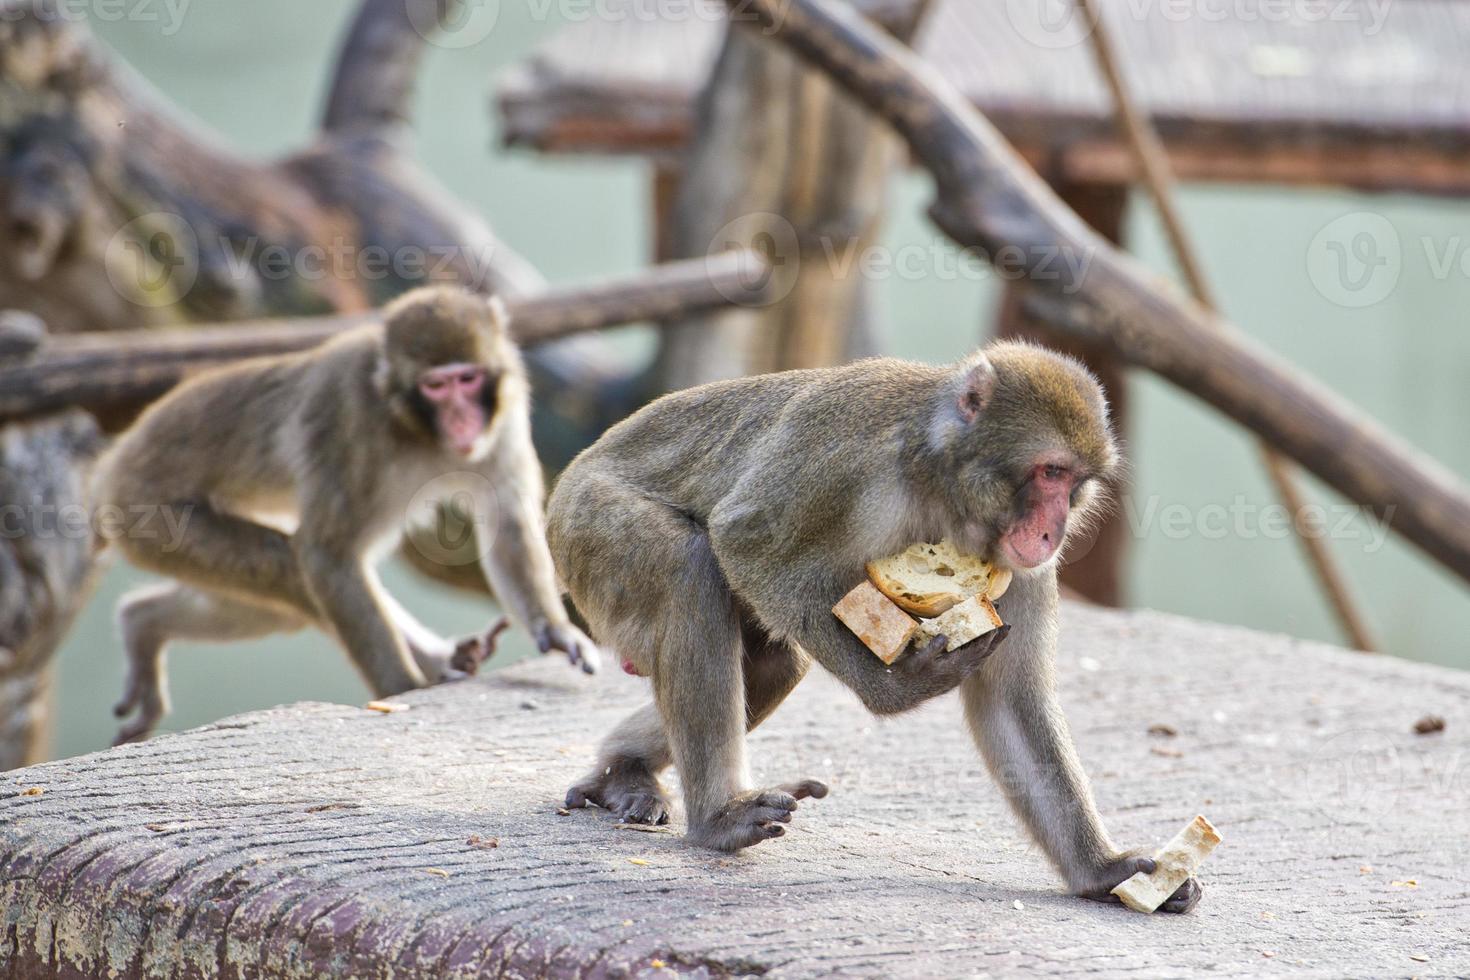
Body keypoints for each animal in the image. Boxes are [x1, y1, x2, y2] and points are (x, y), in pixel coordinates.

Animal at [96, 283, 596, 743]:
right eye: (436, 386)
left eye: (468, 379)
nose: (461, 419)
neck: (418, 429)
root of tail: (116, 463)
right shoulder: (349, 420)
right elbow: (327, 555)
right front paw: (401, 689)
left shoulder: (505, 416)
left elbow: (508, 522)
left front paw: (555, 630)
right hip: (151, 517)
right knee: (290, 566)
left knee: (278, 605)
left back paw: (142, 623)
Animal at [546, 343, 1199, 910]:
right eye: (1049, 471)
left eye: (1075, 481)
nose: (1052, 531)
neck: (942, 484)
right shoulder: (847, 457)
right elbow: (744, 540)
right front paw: (896, 690)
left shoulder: (1019, 570)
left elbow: (1011, 700)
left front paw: (1103, 871)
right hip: (589, 529)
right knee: (691, 568)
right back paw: (717, 819)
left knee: (774, 663)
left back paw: (624, 770)